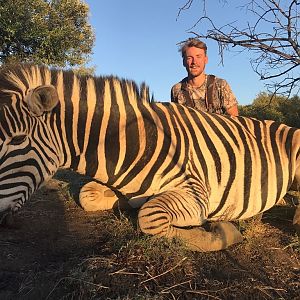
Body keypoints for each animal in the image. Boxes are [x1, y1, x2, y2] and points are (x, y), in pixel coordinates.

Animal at [0, 63, 298, 251]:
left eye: (17, 140)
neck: (135, 147)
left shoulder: (196, 194)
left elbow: (149, 217)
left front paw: (226, 232)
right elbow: (89, 195)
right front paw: (124, 203)